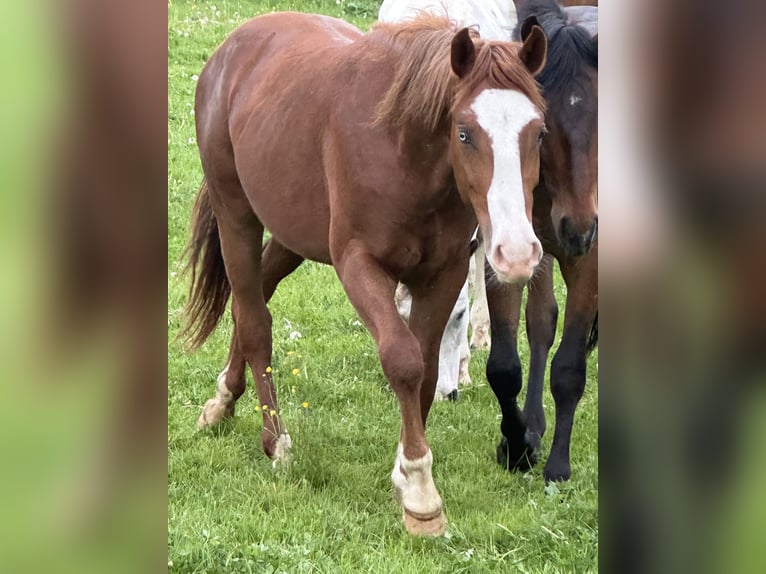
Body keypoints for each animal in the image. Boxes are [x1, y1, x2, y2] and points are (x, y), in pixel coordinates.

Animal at [182, 11, 548, 535]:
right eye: (463, 132)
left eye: (537, 133)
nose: (517, 252)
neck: (404, 153)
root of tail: (231, 49)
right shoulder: (359, 266)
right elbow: (404, 361)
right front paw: (419, 491)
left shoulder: (444, 274)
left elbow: (427, 369)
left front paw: (404, 474)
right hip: (236, 216)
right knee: (254, 320)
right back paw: (275, 441)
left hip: (293, 234)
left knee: (255, 296)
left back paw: (224, 399)